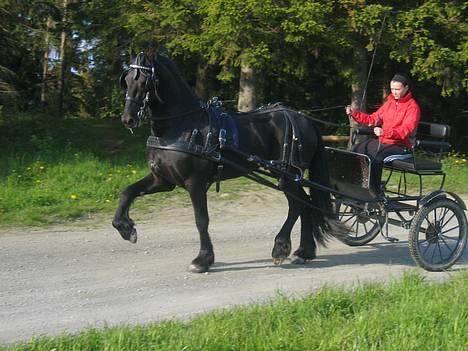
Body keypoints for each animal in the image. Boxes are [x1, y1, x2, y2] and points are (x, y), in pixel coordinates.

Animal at [113, 52, 344, 274]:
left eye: (144, 80)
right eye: (126, 79)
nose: (127, 119)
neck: (181, 126)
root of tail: (304, 119)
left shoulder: (195, 183)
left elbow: (201, 220)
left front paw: (202, 260)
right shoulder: (162, 180)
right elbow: (127, 192)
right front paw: (126, 228)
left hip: (286, 175)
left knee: (298, 204)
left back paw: (281, 247)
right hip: (289, 176)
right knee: (306, 203)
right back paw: (304, 251)